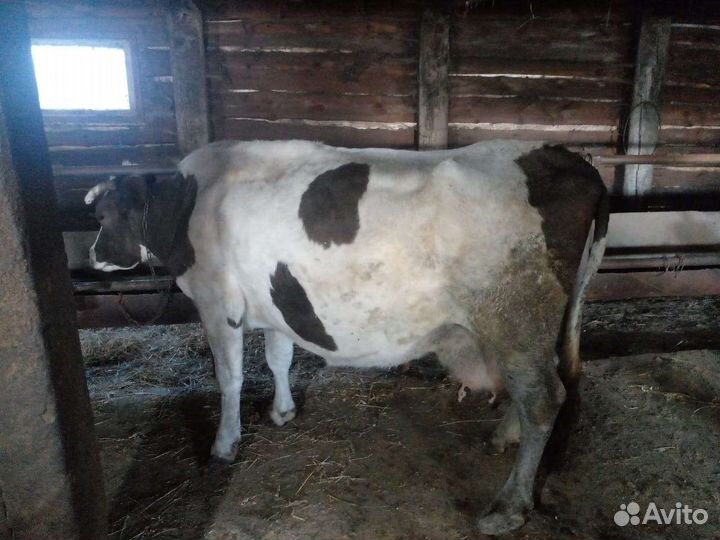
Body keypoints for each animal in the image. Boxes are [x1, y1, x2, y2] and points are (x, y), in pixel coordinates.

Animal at [84, 139, 608, 534]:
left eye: (104, 217)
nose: (93, 256)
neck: (189, 201)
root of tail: (568, 157)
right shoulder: (274, 307)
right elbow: (278, 357)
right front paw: (282, 411)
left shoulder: (218, 305)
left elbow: (229, 380)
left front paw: (224, 444)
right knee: (538, 386)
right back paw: (504, 437)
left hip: (516, 317)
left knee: (542, 397)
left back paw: (509, 506)